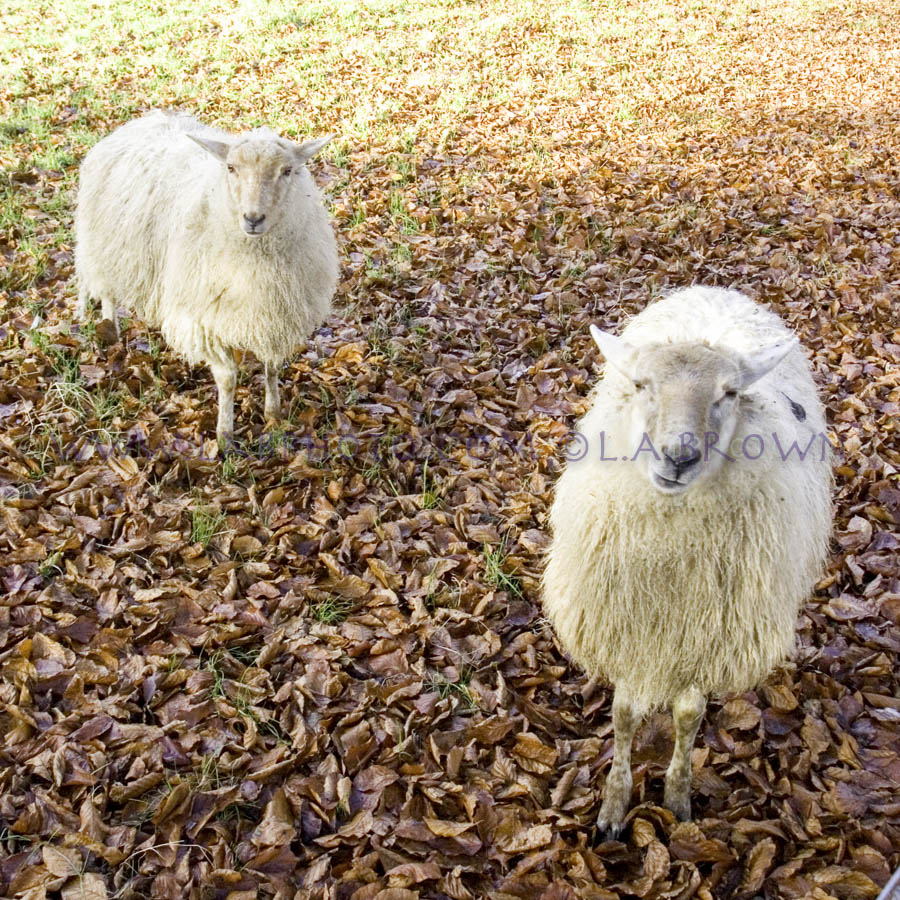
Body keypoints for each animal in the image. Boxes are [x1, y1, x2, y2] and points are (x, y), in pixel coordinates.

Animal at [74, 110, 340, 442]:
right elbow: (227, 379)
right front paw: (225, 434)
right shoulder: (204, 318)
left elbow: (271, 367)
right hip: (102, 245)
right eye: (231, 168)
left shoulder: (273, 313)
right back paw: (108, 329)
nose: (253, 219)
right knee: (103, 290)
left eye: (288, 170)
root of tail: (144, 119)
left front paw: (273, 412)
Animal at [536, 288, 832, 836]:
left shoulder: (704, 635)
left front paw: (676, 799)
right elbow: (625, 714)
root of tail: (717, 292)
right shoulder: (630, 626)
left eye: (729, 393)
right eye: (641, 384)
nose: (678, 456)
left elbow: (689, 716)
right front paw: (613, 807)